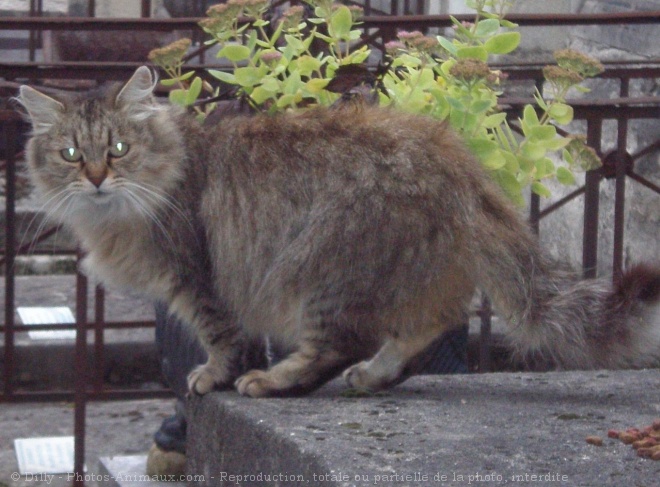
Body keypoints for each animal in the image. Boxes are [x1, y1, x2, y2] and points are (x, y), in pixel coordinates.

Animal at [16, 66, 660, 396]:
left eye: (119, 149)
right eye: (71, 154)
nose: (96, 178)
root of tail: (452, 156)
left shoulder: (198, 277)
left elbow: (224, 337)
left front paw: (216, 378)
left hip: (325, 267)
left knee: (337, 344)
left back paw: (274, 381)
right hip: (409, 276)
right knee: (422, 327)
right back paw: (372, 377)